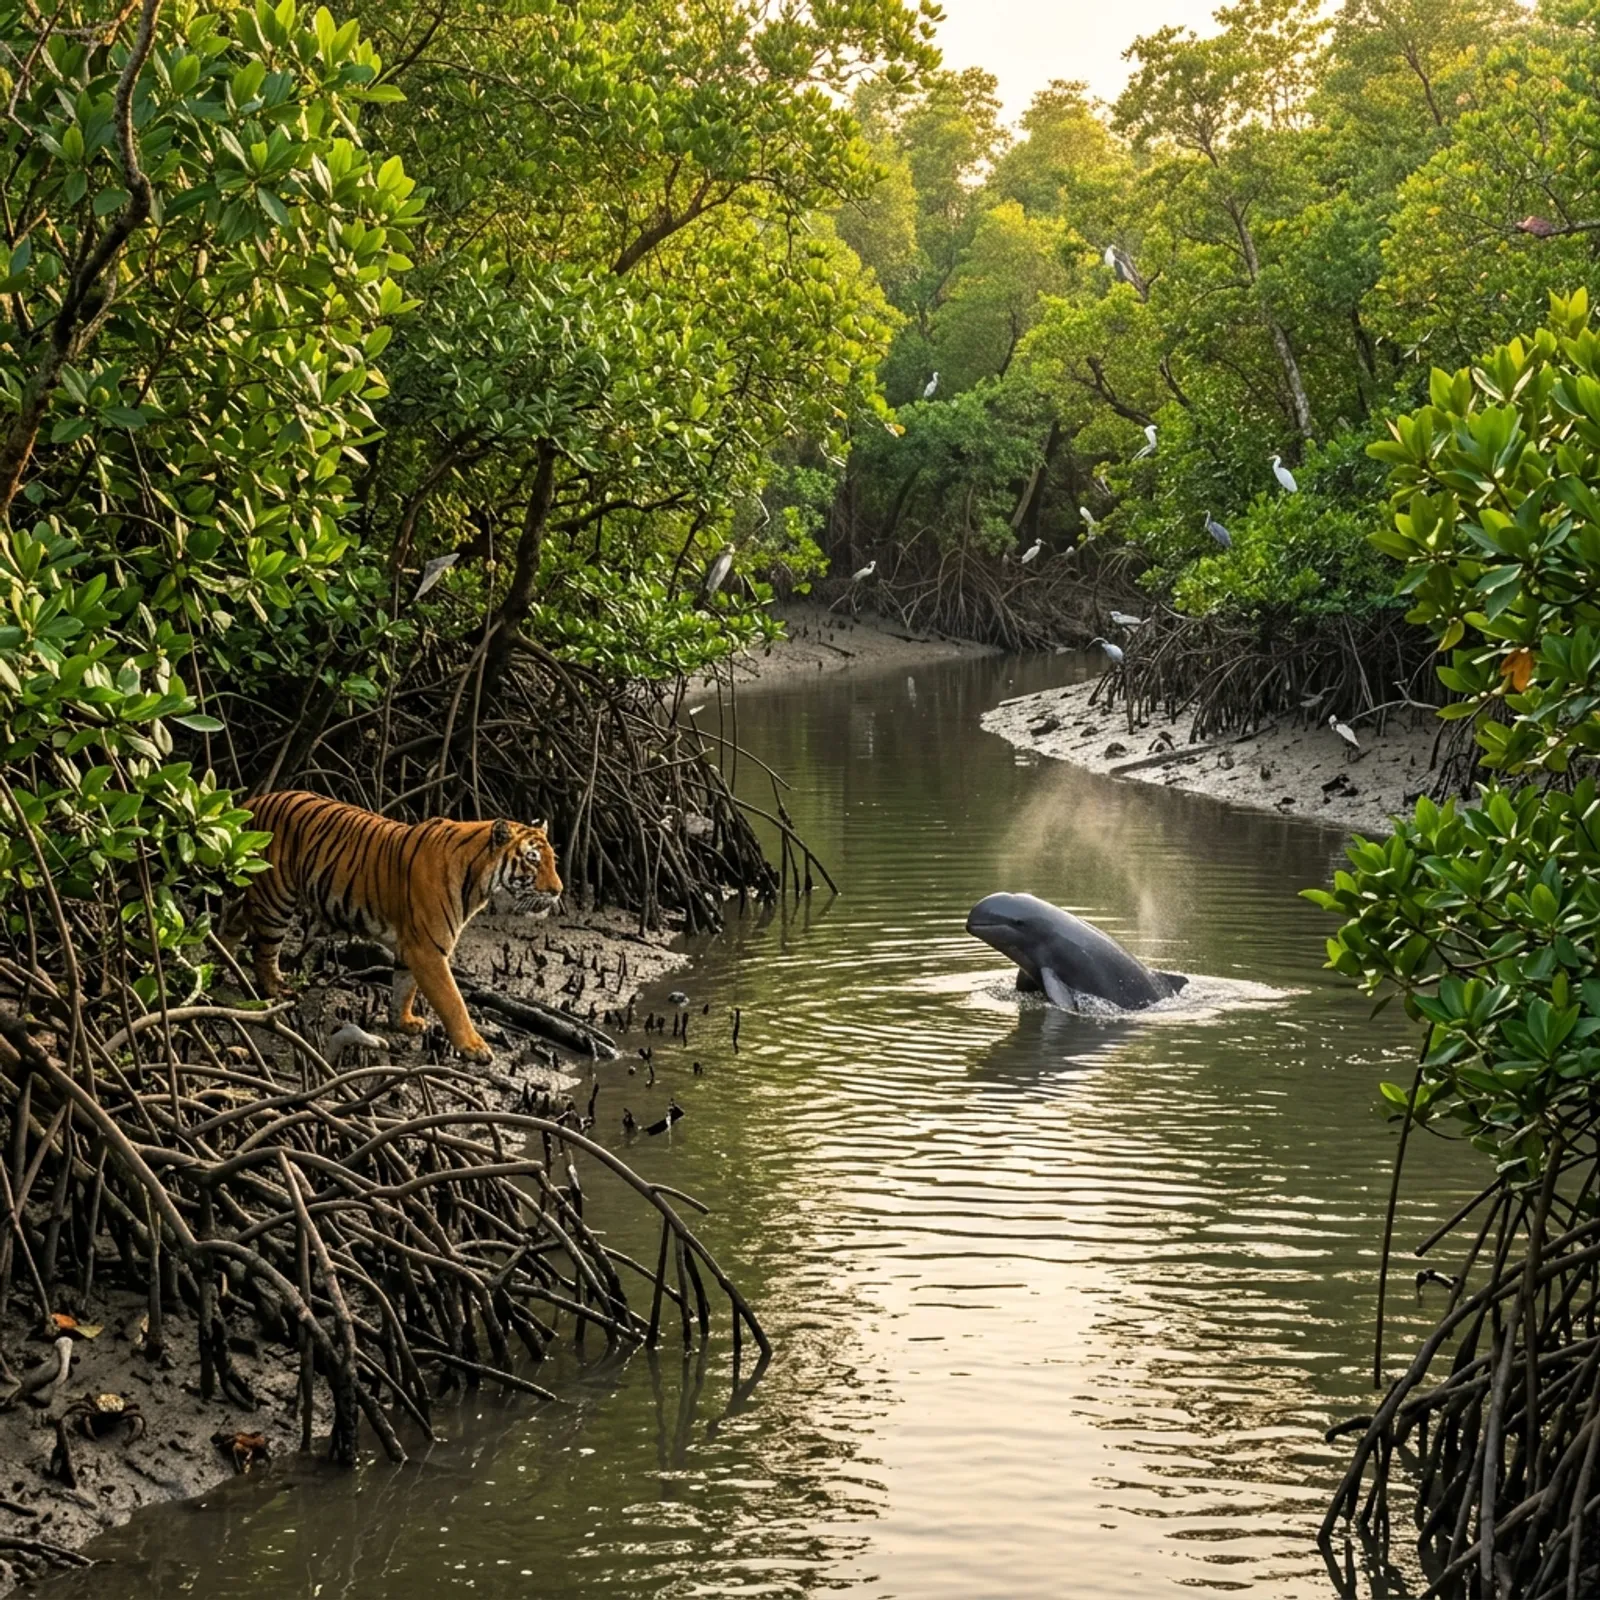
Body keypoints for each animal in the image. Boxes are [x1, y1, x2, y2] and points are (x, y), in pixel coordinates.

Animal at [220, 790, 563, 1064]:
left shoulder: (413, 946)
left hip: (254, 894)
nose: (558, 890)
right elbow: (452, 1000)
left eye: (553, 860)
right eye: (533, 859)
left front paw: (403, 1022)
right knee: (263, 951)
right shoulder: (428, 948)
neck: (478, 881)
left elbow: (404, 987)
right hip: (275, 898)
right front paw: (474, 1047)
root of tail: (252, 801)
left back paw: (220, 960)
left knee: (233, 923)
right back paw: (275, 988)